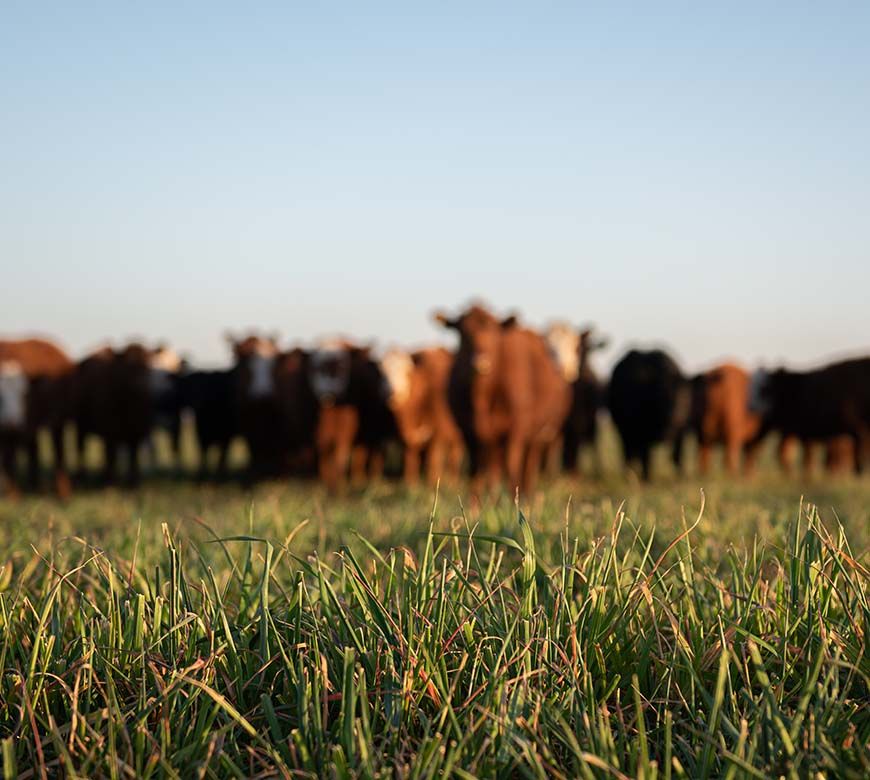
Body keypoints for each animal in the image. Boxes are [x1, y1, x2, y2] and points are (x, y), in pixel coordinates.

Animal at [0, 338, 75, 498]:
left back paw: (62, 493)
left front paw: (14, 495)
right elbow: (8, 462)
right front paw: (13, 495)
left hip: (57, 421)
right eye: (0, 396)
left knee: (59, 454)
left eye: (24, 394)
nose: (11, 423)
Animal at [380, 347, 464, 487]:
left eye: (407, 371)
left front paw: (432, 482)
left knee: (455, 454)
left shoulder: (437, 432)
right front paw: (410, 483)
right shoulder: (406, 437)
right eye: (383, 372)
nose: (391, 393)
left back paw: (453, 480)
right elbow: (410, 457)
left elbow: (433, 458)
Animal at [435, 305, 571, 494]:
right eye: (462, 333)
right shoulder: (469, 432)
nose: (480, 360)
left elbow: (512, 467)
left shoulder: (515, 431)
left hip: (535, 437)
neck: (482, 396)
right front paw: (475, 502)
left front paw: (514, 500)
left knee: (527, 467)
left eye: (493, 331)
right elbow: (475, 473)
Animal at [607, 349, 692, 480]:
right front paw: (646, 479)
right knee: (628, 454)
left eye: (683, 395)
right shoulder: (643, 433)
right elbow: (646, 459)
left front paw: (681, 478)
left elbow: (677, 456)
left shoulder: (681, 430)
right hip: (624, 432)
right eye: (663, 397)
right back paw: (629, 474)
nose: (676, 416)